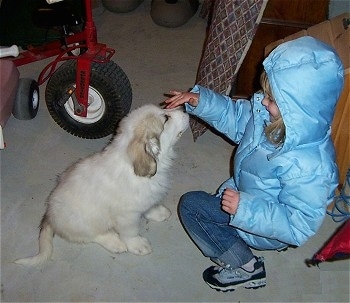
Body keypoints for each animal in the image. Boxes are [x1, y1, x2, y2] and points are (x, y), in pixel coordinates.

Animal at [14, 104, 189, 266]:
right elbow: (130, 232)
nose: (186, 110)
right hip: (85, 221)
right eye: (166, 118)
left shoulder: (145, 200)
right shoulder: (126, 216)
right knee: (90, 236)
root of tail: (49, 215)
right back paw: (115, 242)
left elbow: (149, 207)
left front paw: (159, 213)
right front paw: (137, 245)